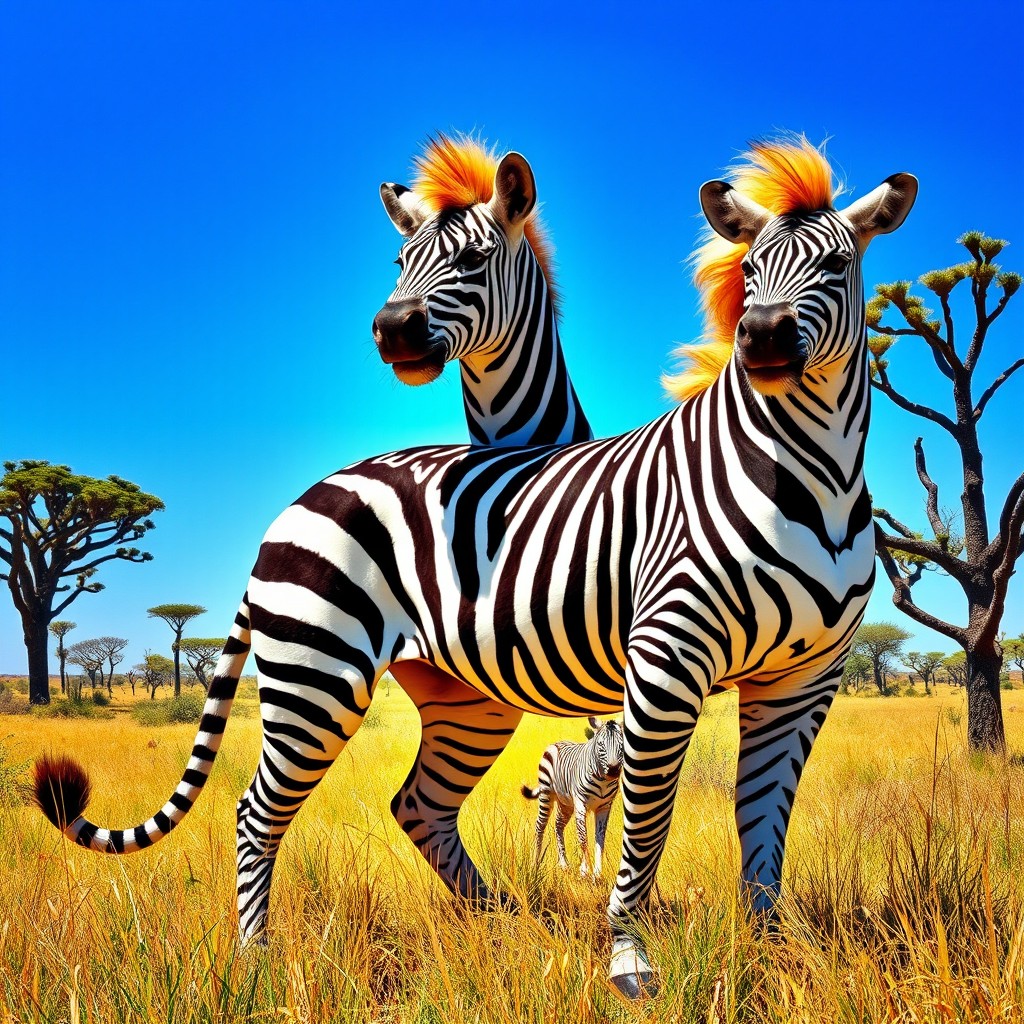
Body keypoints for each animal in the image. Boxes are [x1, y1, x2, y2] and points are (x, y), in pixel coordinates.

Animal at [521, 716, 624, 877]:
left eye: (621, 745)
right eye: (601, 744)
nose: (613, 770)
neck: (603, 780)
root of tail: (556, 743)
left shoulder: (604, 807)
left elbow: (600, 839)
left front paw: (597, 873)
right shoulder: (581, 803)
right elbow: (583, 838)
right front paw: (585, 870)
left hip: (566, 804)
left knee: (558, 825)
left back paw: (564, 864)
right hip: (546, 796)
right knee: (540, 826)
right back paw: (534, 864)